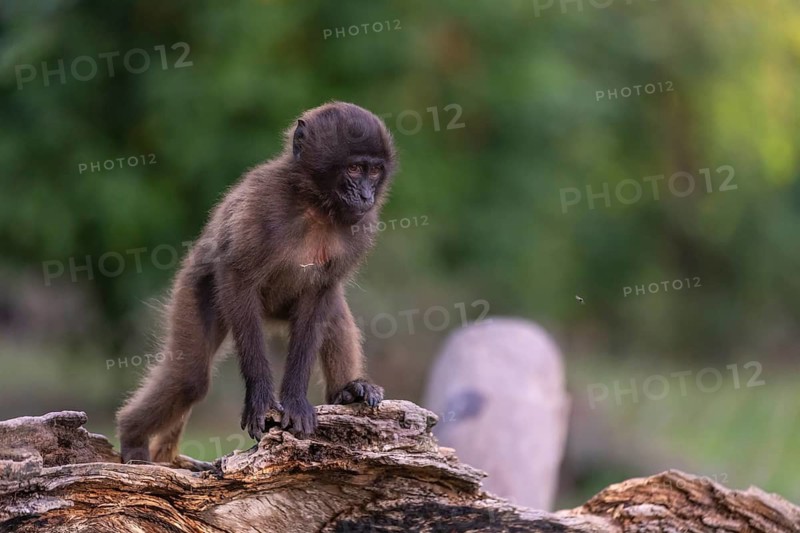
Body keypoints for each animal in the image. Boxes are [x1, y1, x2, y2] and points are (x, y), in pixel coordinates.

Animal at [116, 102, 397, 464]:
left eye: (374, 171)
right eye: (354, 168)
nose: (365, 195)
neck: (315, 206)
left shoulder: (361, 228)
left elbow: (321, 295)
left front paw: (295, 398)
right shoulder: (261, 203)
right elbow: (237, 275)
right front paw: (261, 399)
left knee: (332, 309)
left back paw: (347, 390)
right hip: (196, 289)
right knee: (189, 378)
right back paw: (131, 437)